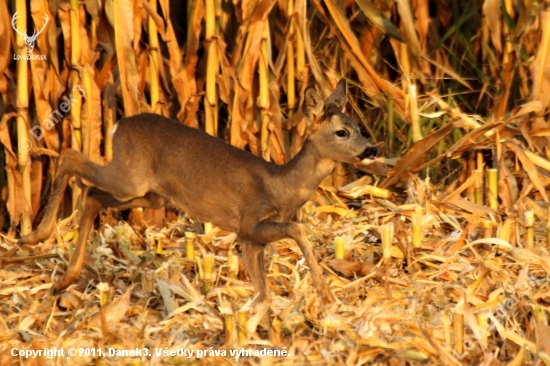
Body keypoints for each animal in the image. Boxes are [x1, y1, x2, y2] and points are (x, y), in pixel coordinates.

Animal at [19, 79, 378, 304]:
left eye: (360, 128)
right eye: (342, 132)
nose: (371, 149)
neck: (281, 185)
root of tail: (118, 125)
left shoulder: (251, 240)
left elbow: (263, 295)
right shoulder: (249, 223)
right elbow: (297, 229)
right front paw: (326, 294)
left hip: (151, 194)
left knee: (92, 194)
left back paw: (63, 279)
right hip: (130, 178)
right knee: (70, 156)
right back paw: (34, 237)